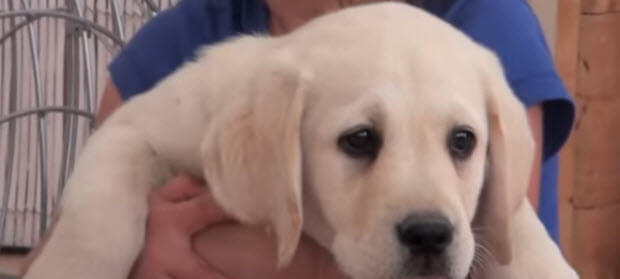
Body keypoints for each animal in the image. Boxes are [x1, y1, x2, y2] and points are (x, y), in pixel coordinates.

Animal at [21, 2, 580, 279]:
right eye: (360, 140)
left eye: (463, 141)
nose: (429, 235)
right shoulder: (132, 129)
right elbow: (99, 224)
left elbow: (519, 228)